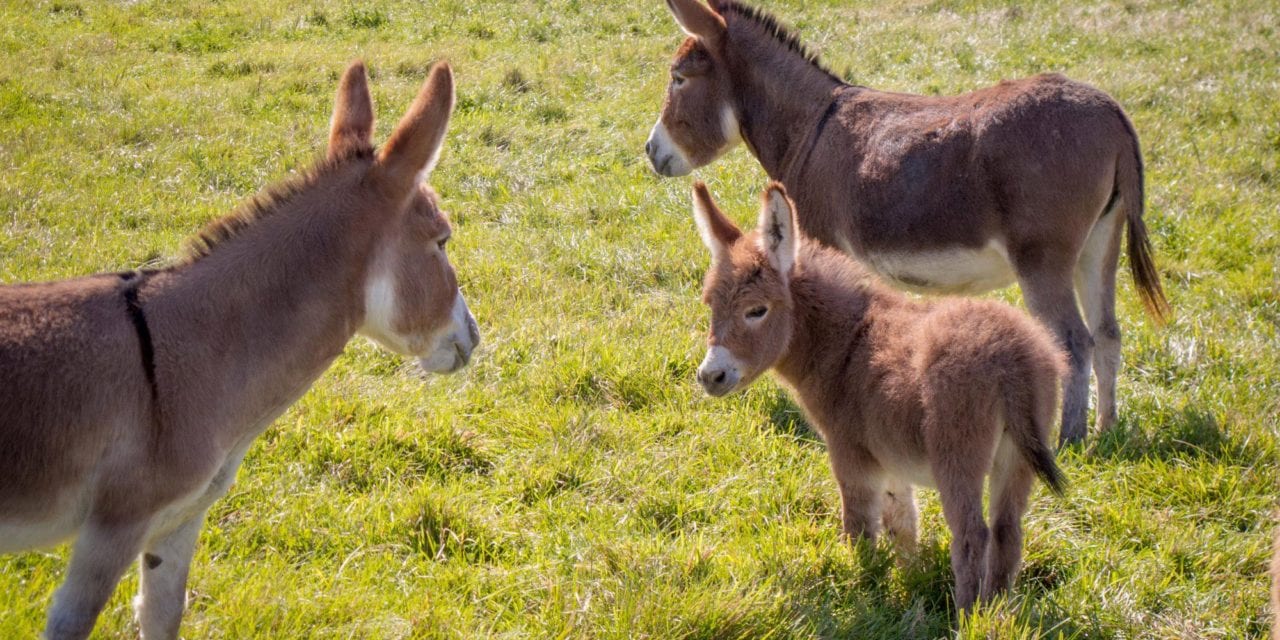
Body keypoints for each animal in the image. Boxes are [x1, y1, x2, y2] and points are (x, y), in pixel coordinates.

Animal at [691, 180, 1070, 609]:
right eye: (710, 304)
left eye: (757, 310)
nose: (710, 376)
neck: (846, 343)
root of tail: (1013, 354)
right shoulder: (890, 462)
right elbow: (903, 525)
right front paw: (911, 583)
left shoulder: (850, 456)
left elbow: (859, 531)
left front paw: (863, 590)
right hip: (1017, 457)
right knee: (1008, 533)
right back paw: (995, 612)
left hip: (958, 455)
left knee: (973, 535)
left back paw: (966, 614)